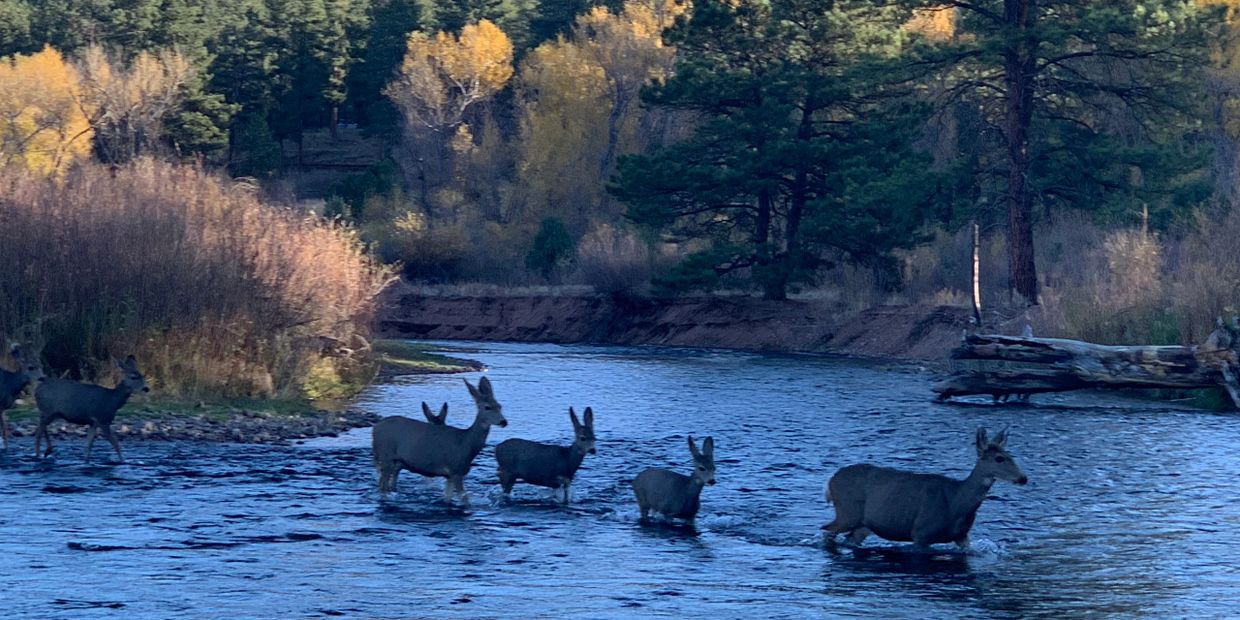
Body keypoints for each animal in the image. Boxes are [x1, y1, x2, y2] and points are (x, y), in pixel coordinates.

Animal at [369, 376, 505, 503]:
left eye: (500, 406)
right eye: (487, 407)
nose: (504, 422)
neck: (466, 444)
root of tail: (375, 428)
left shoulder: (450, 475)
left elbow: (448, 498)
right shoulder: (456, 470)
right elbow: (465, 501)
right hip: (386, 455)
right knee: (382, 486)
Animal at [823, 426, 1026, 553]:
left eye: (1011, 455)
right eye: (999, 458)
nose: (1023, 478)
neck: (956, 502)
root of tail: (831, 480)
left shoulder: (962, 536)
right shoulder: (921, 533)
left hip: (863, 525)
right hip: (847, 513)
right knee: (827, 531)